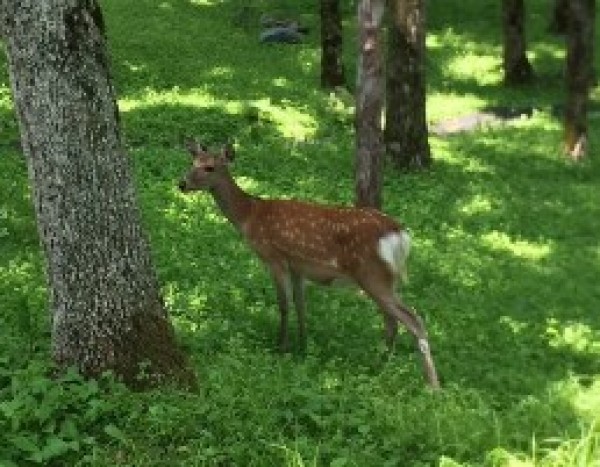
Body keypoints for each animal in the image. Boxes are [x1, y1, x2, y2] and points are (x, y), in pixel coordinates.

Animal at [178, 141, 440, 390]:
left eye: (210, 167)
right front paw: (303, 346)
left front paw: (280, 346)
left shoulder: (275, 258)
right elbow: (301, 305)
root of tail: (400, 235)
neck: (250, 216)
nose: (181, 184)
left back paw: (432, 385)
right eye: (192, 161)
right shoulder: (297, 267)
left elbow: (284, 305)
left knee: (413, 319)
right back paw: (380, 365)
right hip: (385, 278)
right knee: (392, 321)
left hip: (372, 274)